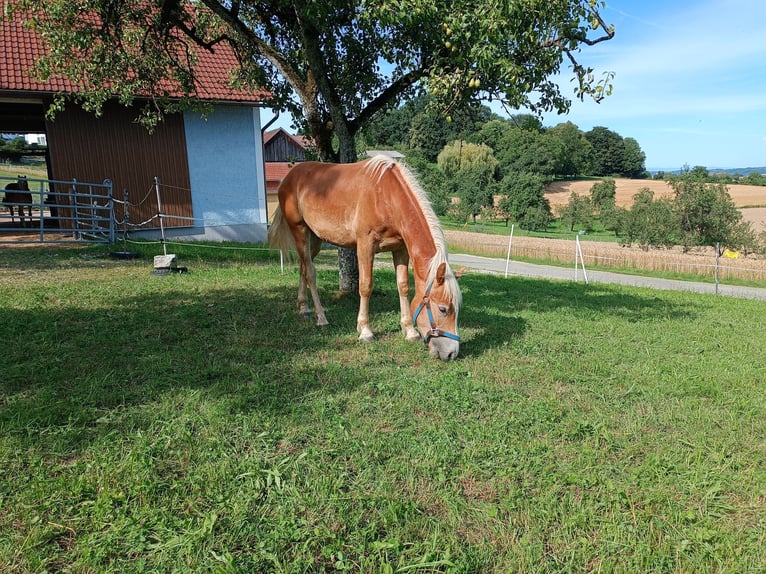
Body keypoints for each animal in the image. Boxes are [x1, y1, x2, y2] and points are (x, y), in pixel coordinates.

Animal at [270, 155, 462, 362]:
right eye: (443, 309)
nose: (451, 353)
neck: (386, 196)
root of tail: (288, 178)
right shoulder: (365, 246)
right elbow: (365, 286)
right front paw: (365, 331)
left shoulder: (400, 249)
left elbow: (403, 286)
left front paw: (409, 331)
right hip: (299, 231)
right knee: (311, 273)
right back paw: (321, 317)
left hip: (314, 239)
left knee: (303, 267)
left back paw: (303, 308)